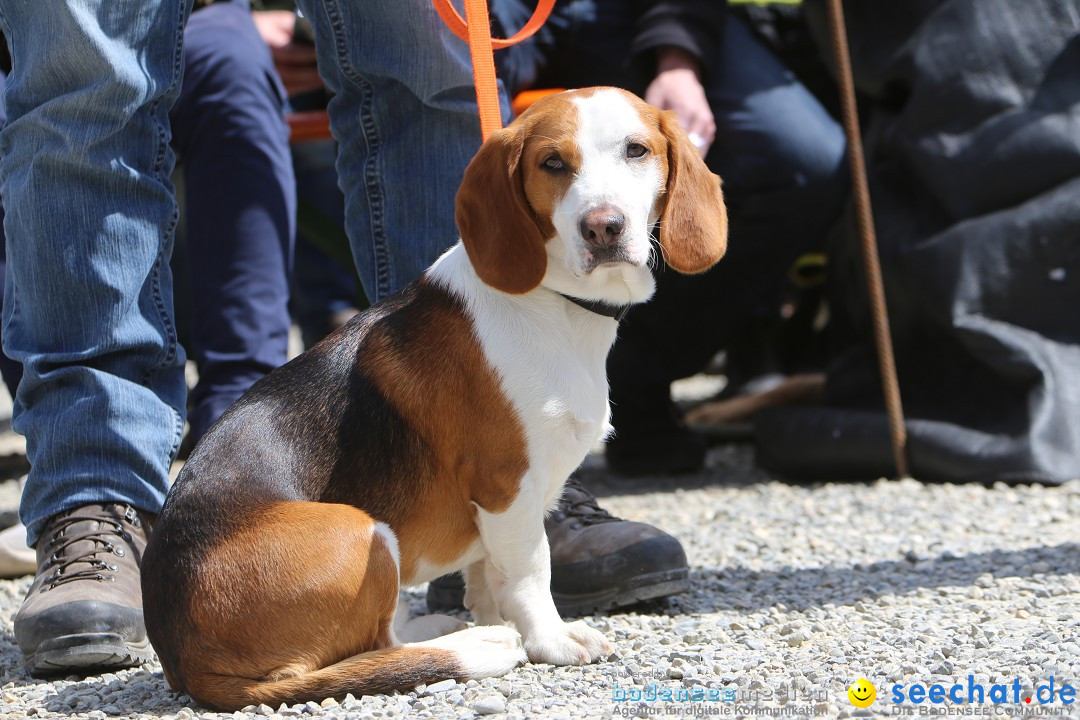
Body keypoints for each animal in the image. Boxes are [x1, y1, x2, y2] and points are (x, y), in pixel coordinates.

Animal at [143, 85, 730, 708]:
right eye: (552, 162)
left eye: (637, 150)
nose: (603, 227)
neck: (553, 302)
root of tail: (183, 660)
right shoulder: (506, 485)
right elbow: (532, 571)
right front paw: (549, 640)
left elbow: (490, 577)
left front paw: (496, 618)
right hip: (359, 531)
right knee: (368, 648)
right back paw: (467, 646)